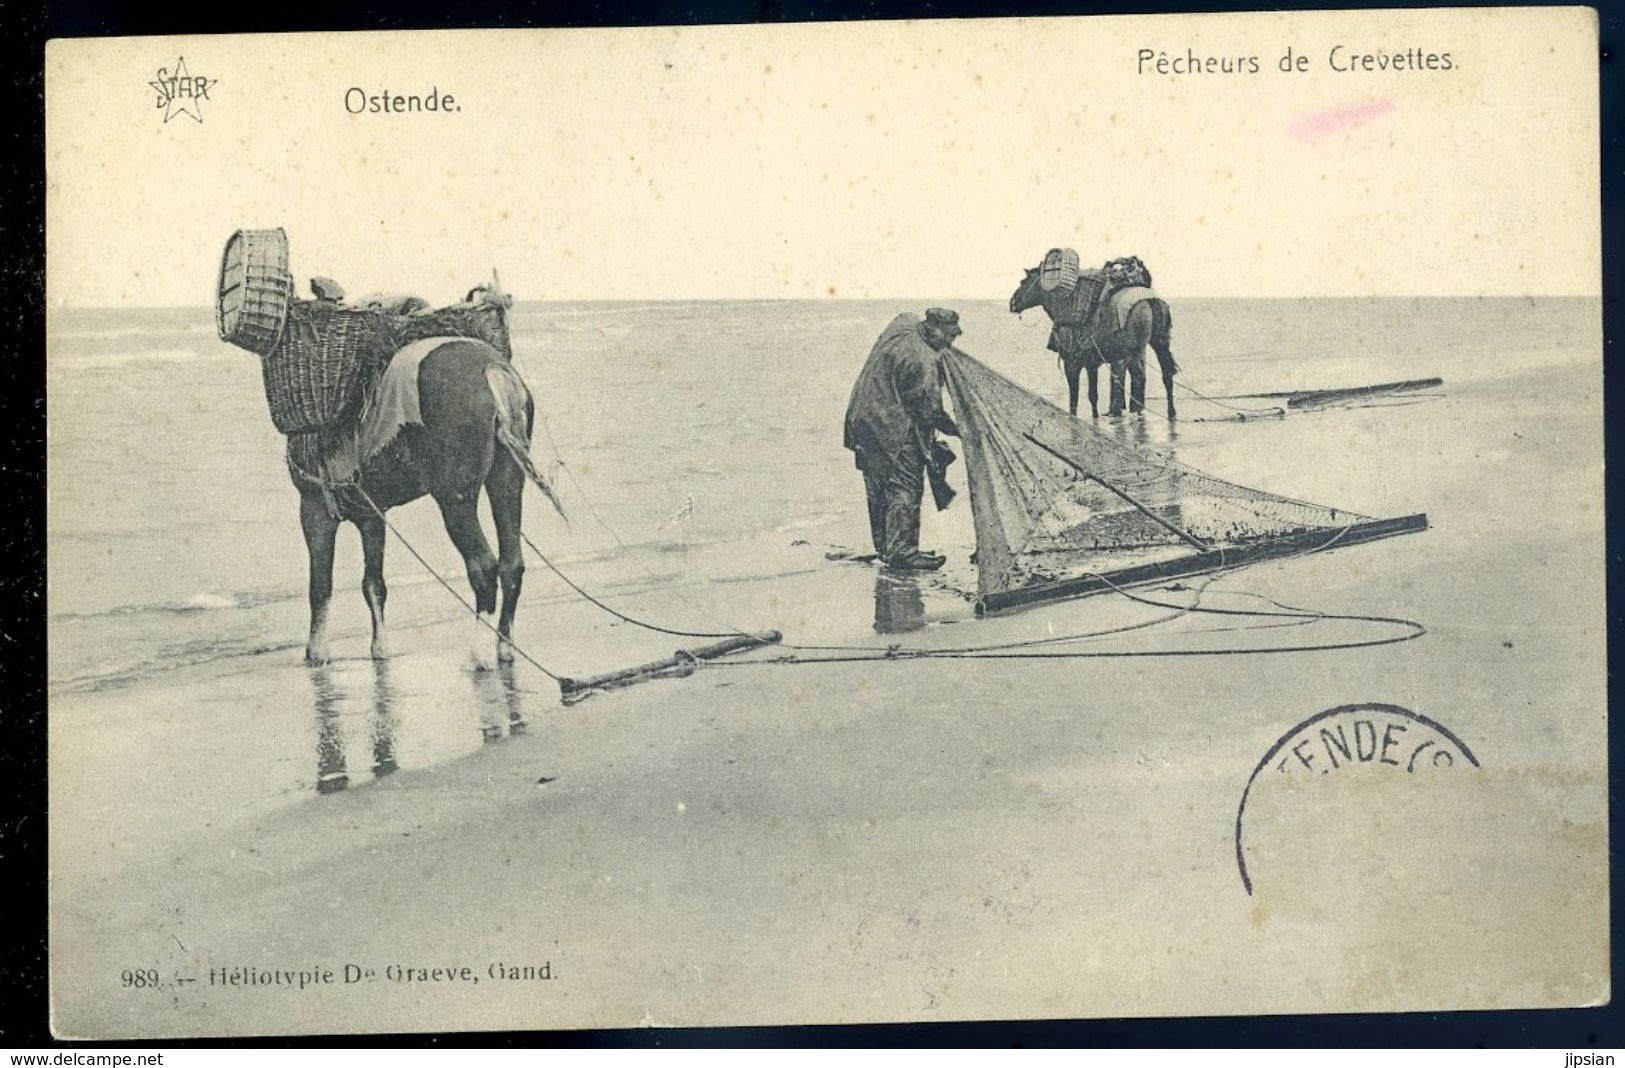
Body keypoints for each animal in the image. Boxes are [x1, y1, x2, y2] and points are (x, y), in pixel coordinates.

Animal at [292, 334, 539, 666]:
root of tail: (494, 369)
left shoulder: (314, 511)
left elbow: (320, 586)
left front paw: (316, 653)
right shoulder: (373, 518)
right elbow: (374, 584)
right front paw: (380, 649)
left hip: (455, 501)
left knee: (485, 567)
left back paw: (478, 656)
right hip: (507, 482)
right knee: (512, 565)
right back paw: (504, 649)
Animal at [1007, 260, 1176, 419]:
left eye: (1023, 282)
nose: (1012, 303)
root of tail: (1150, 300)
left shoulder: (1071, 363)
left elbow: (1074, 398)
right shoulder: (1091, 364)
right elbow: (1093, 396)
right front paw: (1095, 417)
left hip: (1133, 352)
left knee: (1139, 377)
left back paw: (1137, 413)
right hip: (1160, 343)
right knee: (1166, 374)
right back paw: (1171, 413)